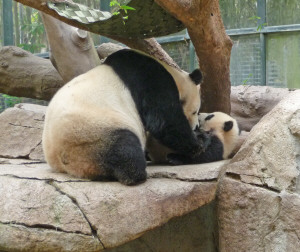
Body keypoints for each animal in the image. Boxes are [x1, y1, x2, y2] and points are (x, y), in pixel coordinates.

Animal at [42, 48, 205, 185]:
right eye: (195, 111)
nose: (196, 126)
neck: (173, 74)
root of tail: (60, 159)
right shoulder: (149, 78)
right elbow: (164, 120)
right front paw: (197, 145)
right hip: (92, 132)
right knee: (124, 148)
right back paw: (135, 175)